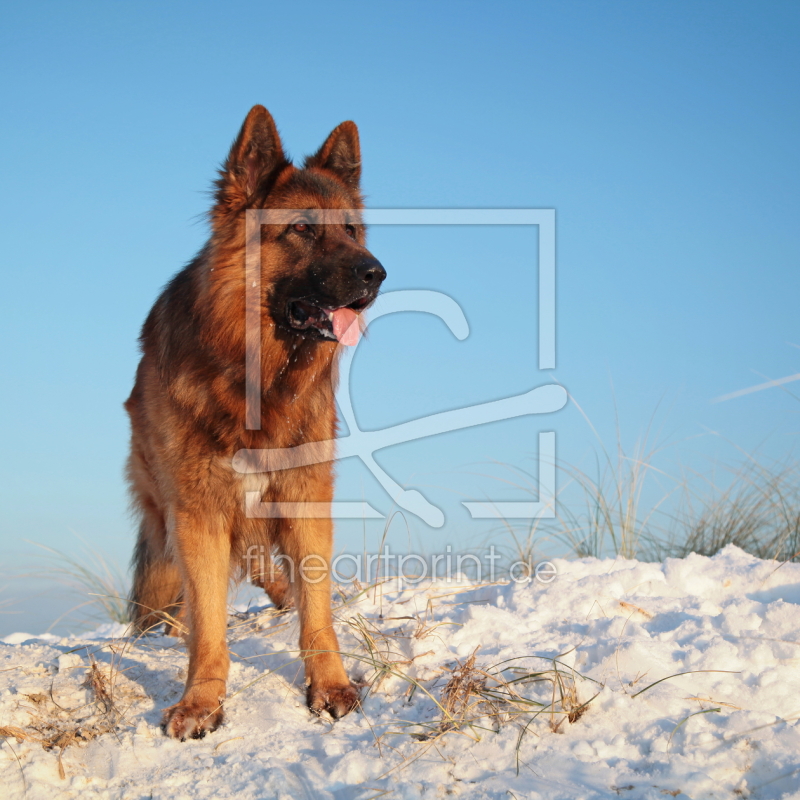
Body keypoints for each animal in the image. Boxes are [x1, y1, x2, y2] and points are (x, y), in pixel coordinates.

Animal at [126, 104, 388, 736]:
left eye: (351, 230)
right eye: (302, 229)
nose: (377, 274)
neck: (257, 373)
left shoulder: (303, 493)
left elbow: (317, 609)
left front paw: (331, 685)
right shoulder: (197, 508)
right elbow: (207, 623)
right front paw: (202, 699)